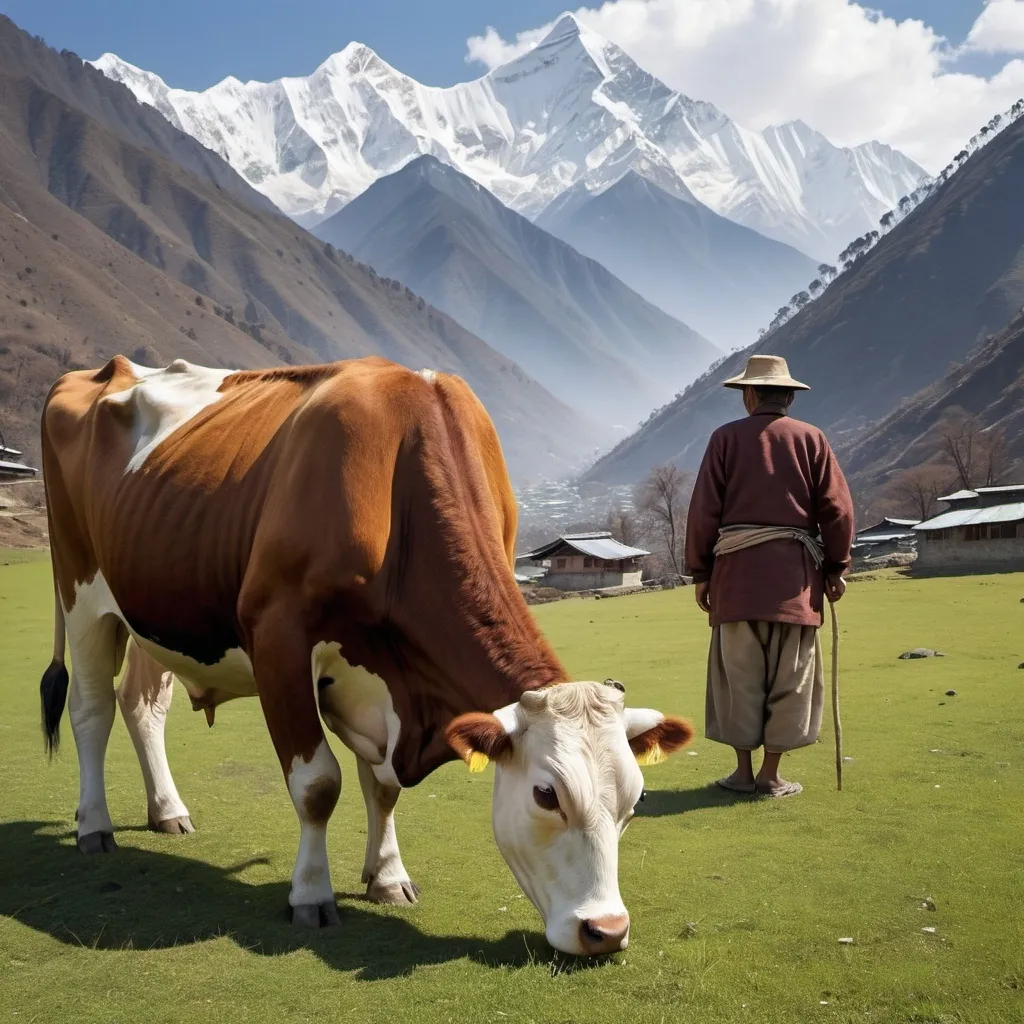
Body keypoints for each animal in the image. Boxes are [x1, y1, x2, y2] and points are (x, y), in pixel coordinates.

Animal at [39, 356, 696, 954]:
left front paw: (386, 877)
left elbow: (382, 787)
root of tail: (102, 370)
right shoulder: (279, 638)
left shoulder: (382, 681)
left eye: (635, 799)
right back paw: (94, 826)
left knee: (141, 706)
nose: (606, 931)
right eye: (546, 795)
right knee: (92, 710)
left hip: (153, 611)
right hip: (81, 595)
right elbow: (317, 785)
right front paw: (311, 895)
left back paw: (167, 811)